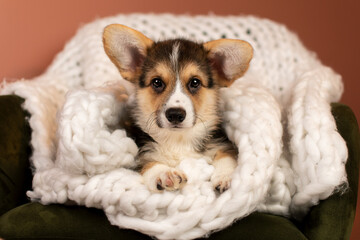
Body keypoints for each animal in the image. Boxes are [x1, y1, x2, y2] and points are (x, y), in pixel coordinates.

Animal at [102, 24, 253, 193]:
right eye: (157, 82)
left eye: (195, 82)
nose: (175, 114)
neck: (178, 140)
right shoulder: (142, 153)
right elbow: (150, 164)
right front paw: (164, 174)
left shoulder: (222, 144)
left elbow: (226, 157)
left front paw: (225, 176)